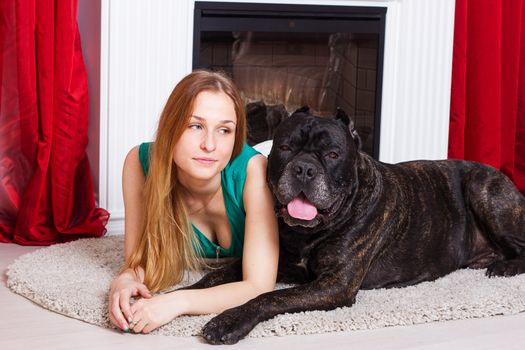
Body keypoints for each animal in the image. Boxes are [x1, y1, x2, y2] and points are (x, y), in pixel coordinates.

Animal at [186, 106, 520, 344]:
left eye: (333, 154)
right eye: (285, 148)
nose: (304, 168)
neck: (308, 232)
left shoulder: (335, 285)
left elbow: (270, 296)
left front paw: (228, 320)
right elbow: (213, 278)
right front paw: (183, 293)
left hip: (482, 189)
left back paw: (505, 267)